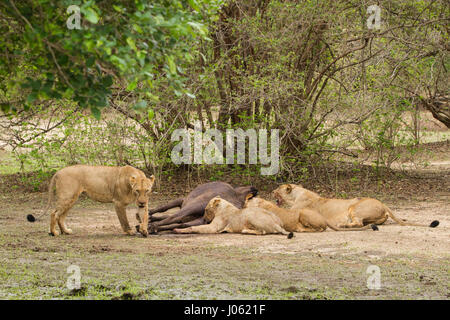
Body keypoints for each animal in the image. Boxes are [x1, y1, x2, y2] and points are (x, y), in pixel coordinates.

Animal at [28, 165, 156, 238]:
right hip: (67, 197)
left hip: (72, 199)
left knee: (61, 216)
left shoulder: (143, 203)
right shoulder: (118, 203)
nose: (142, 202)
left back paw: (66, 231)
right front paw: (129, 232)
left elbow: (144, 217)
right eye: (137, 190)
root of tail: (58, 172)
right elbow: (124, 220)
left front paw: (144, 231)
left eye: (147, 190)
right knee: (54, 213)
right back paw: (54, 233)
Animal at [272, 184, 438, 229]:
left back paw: (343, 225)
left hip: (355, 208)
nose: (272, 191)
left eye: (278, 188)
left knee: (358, 223)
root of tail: (383, 204)